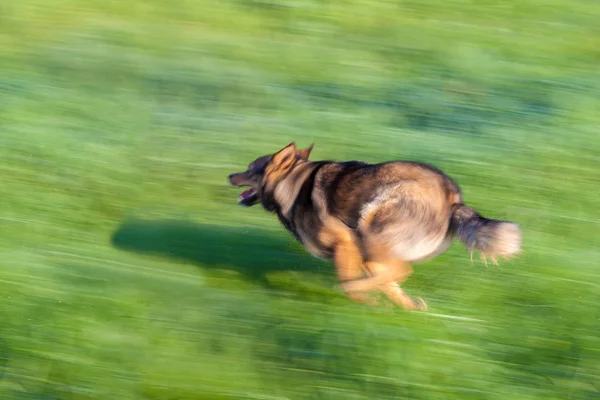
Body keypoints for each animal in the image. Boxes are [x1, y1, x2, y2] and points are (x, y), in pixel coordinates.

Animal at [229, 142, 520, 310]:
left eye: (250, 168)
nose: (230, 176)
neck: (293, 183)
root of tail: (453, 199)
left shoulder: (345, 242)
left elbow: (351, 281)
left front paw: (365, 299)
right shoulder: (360, 254)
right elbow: (388, 287)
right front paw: (403, 307)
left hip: (370, 226)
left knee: (400, 270)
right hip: (372, 246)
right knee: (392, 273)